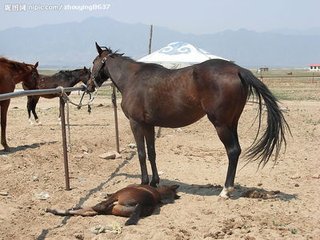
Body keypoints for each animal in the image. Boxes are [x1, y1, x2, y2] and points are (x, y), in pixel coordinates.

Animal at [46, 185, 179, 226]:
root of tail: (141, 204)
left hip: (119, 194)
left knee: (98, 207)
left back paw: (53, 209)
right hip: (114, 209)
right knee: (91, 211)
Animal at [87, 42, 290, 198]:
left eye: (93, 62)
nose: (88, 85)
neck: (132, 78)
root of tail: (237, 70)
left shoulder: (136, 123)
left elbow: (141, 153)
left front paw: (143, 182)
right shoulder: (149, 125)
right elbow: (152, 153)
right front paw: (154, 182)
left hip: (221, 124)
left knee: (232, 151)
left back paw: (225, 190)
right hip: (232, 123)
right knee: (237, 150)